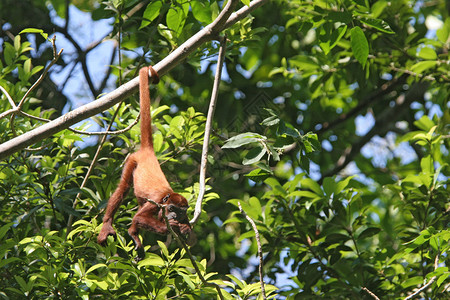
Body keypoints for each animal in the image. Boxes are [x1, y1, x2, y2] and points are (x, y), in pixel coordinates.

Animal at [97, 65, 191, 253]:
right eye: (171, 208)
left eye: (181, 212)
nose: (174, 215)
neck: (167, 196)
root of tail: (148, 152)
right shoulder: (156, 203)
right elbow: (139, 217)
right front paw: (173, 227)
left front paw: (186, 229)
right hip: (132, 160)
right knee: (123, 188)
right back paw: (109, 225)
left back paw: (134, 235)